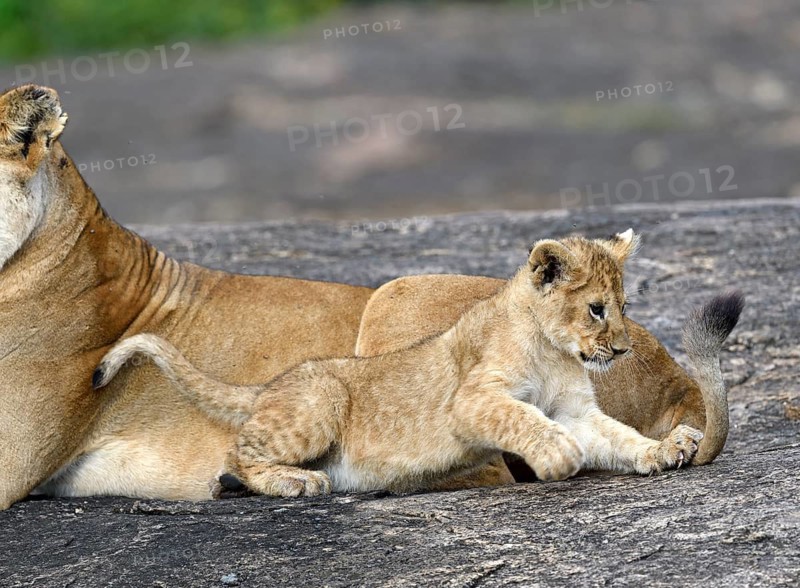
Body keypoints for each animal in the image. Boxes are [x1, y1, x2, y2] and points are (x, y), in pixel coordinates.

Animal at [93, 230, 736, 497]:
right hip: (321, 401)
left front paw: (661, 451)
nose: (622, 350)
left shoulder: (575, 409)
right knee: (235, 452)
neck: (555, 352)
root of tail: (272, 383)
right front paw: (557, 455)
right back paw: (294, 481)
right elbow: (524, 419)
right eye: (597, 309)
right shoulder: (472, 399)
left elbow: (617, 435)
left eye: (625, 307)